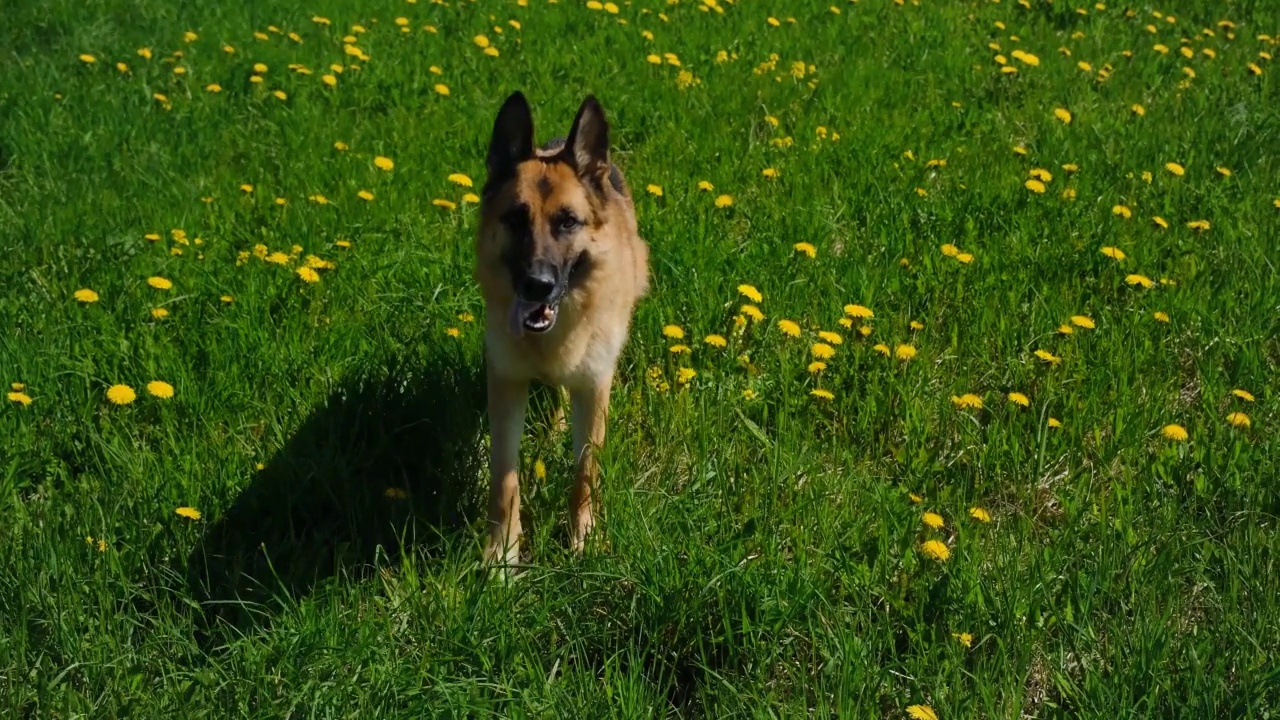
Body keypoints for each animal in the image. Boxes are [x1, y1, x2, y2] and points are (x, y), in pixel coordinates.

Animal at [473, 89, 645, 563]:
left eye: (568, 221)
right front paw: (502, 554)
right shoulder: (507, 384)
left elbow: (585, 472)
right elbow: (505, 478)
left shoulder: (594, 387)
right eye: (515, 219)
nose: (538, 284)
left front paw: (583, 540)